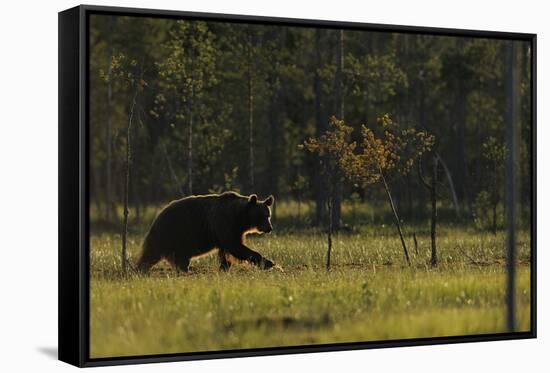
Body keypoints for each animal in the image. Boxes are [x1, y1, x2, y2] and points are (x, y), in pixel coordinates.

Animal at [136, 190, 278, 272]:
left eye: (268, 215)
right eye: (262, 215)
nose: (269, 228)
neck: (240, 218)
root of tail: (157, 216)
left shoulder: (234, 230)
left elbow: (227, 251)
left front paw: (224, 267)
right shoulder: (225, 222)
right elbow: (235, 247)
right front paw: (269, 263)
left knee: (178, 258)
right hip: (172, 233)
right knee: (151, 254)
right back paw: (140, 269)